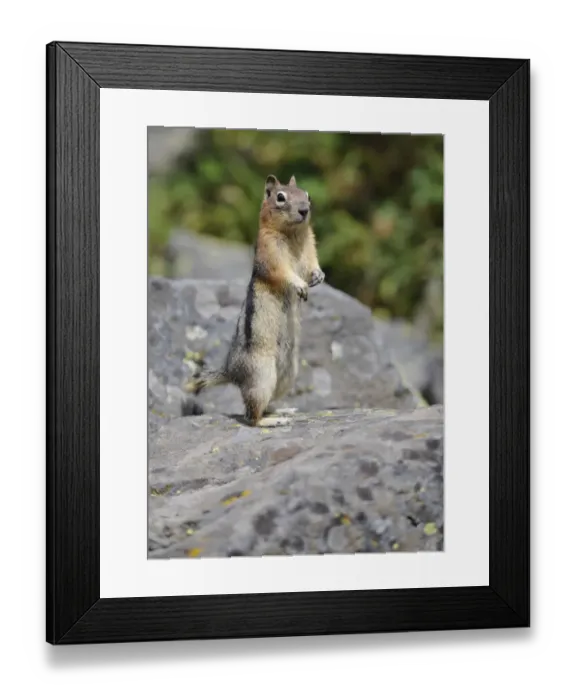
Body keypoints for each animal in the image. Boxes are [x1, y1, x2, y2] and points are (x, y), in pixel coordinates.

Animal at [186, 174, 325, 426]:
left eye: (307, 195)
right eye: (280, 197)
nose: (304, 210)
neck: (293, 234)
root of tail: (232, 371)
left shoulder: (310, 247)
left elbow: (312, 265)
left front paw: (319, 276)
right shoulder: (269, 253)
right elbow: (283, 273)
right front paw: (299, 285)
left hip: (287, 375)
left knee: (266, 404)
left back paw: (282, 411)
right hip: (262, 375)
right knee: (251, 416)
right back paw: (272, 422)